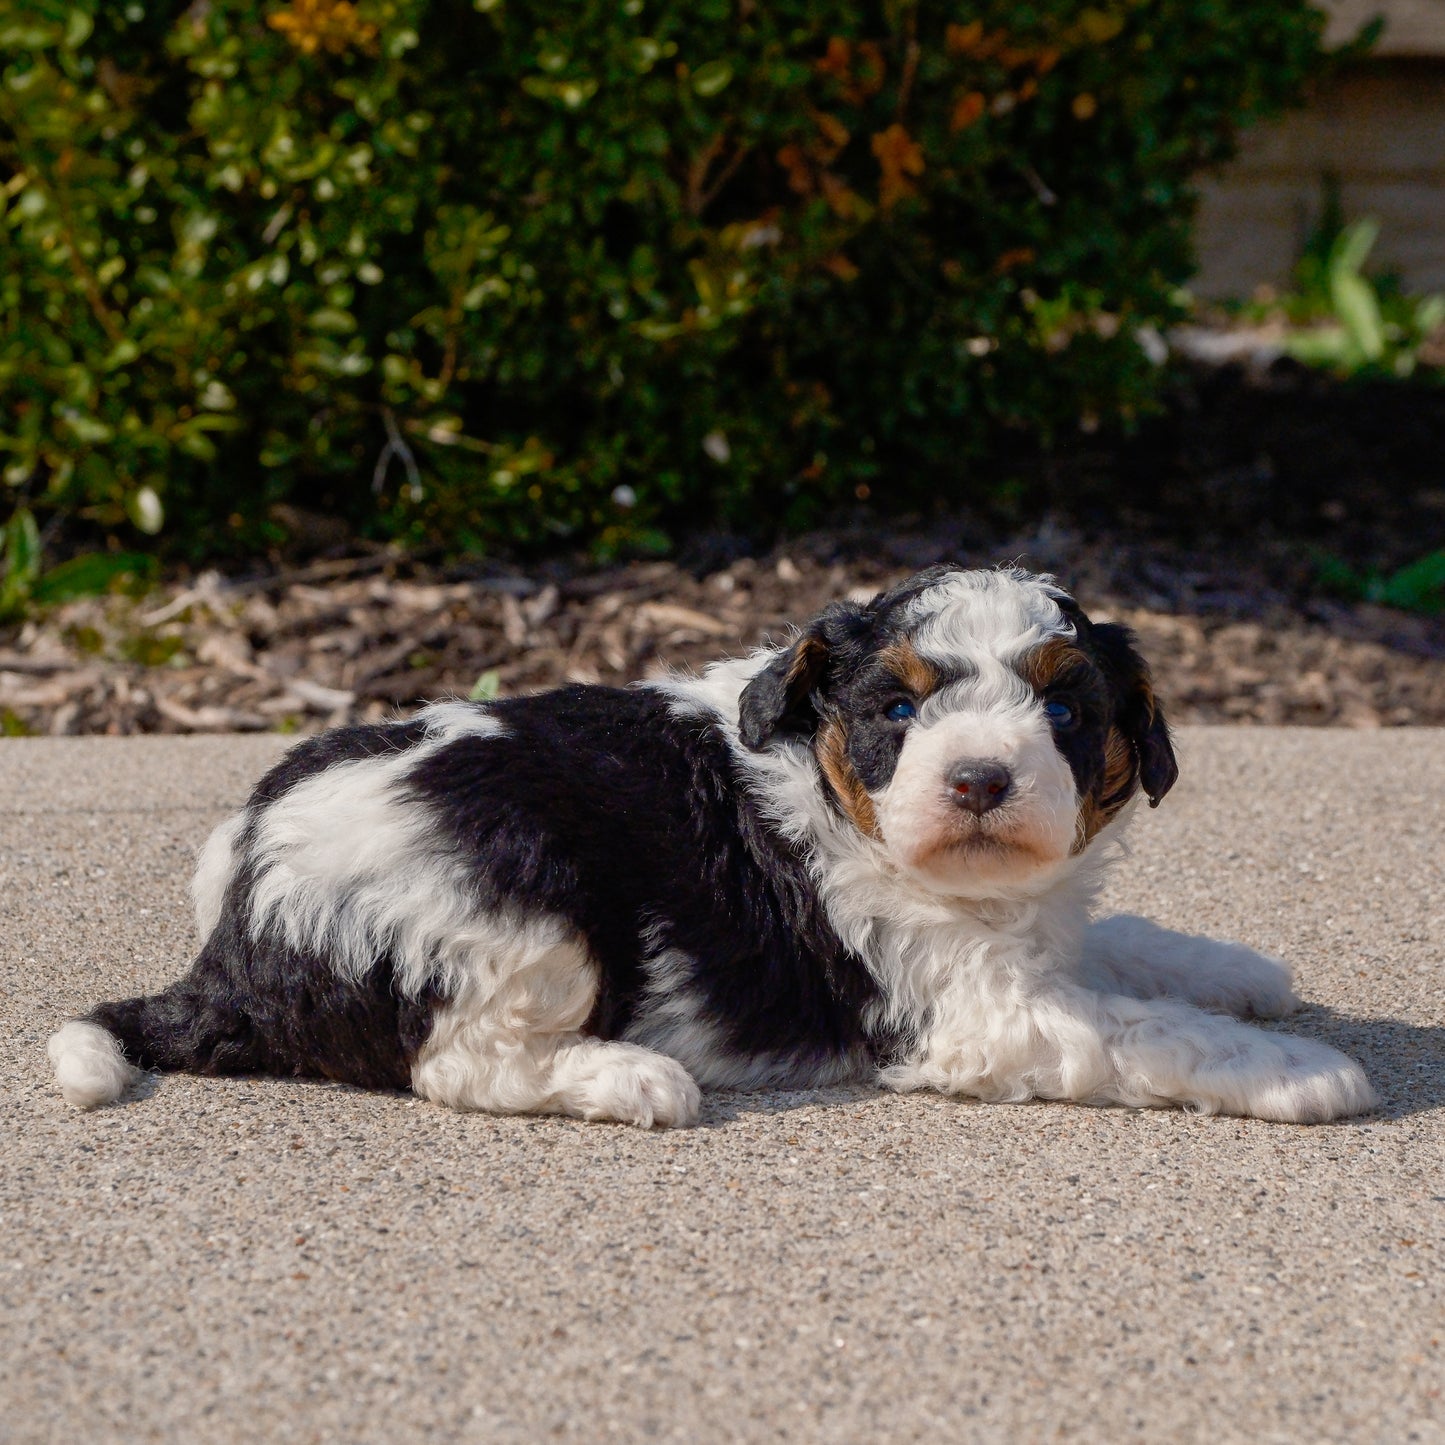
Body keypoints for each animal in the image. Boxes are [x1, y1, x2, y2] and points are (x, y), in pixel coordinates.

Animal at [48, 566, 1375, 1127]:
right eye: (896, 709)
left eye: (1063, 706)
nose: (980, 780)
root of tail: (233, 939)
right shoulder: (974, 1008)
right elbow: (1145, 1029)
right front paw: (1299, 1069)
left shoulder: (1027, 942)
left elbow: (1128, 949)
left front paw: (1240, 972)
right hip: (517, 903)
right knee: (459, 1062)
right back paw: (633, 1079)